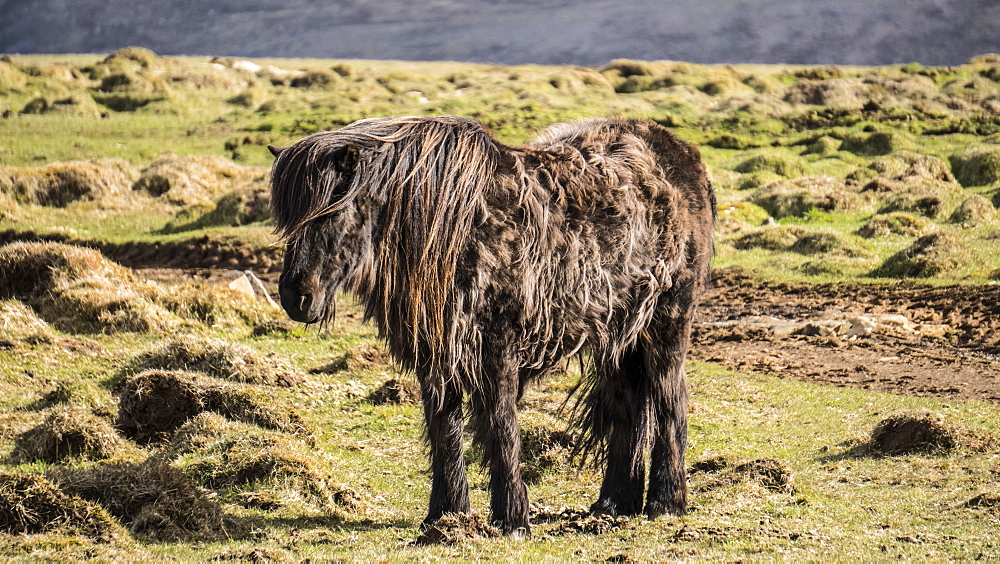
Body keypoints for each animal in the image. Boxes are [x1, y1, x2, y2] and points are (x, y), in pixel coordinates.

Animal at [270, 114, 716, 532]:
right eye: (287, 220)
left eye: (332, 212)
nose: (296, 297)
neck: (456, 230)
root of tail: (682, 155)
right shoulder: (438, 352)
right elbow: (444, 429)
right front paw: (446, 515)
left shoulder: (498, 345)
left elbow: (501, 425)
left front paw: (511, 518)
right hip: (618, 336)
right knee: (627, 409)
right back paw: (613, 505)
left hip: (666, 324)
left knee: (669, 400)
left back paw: (666, 503)